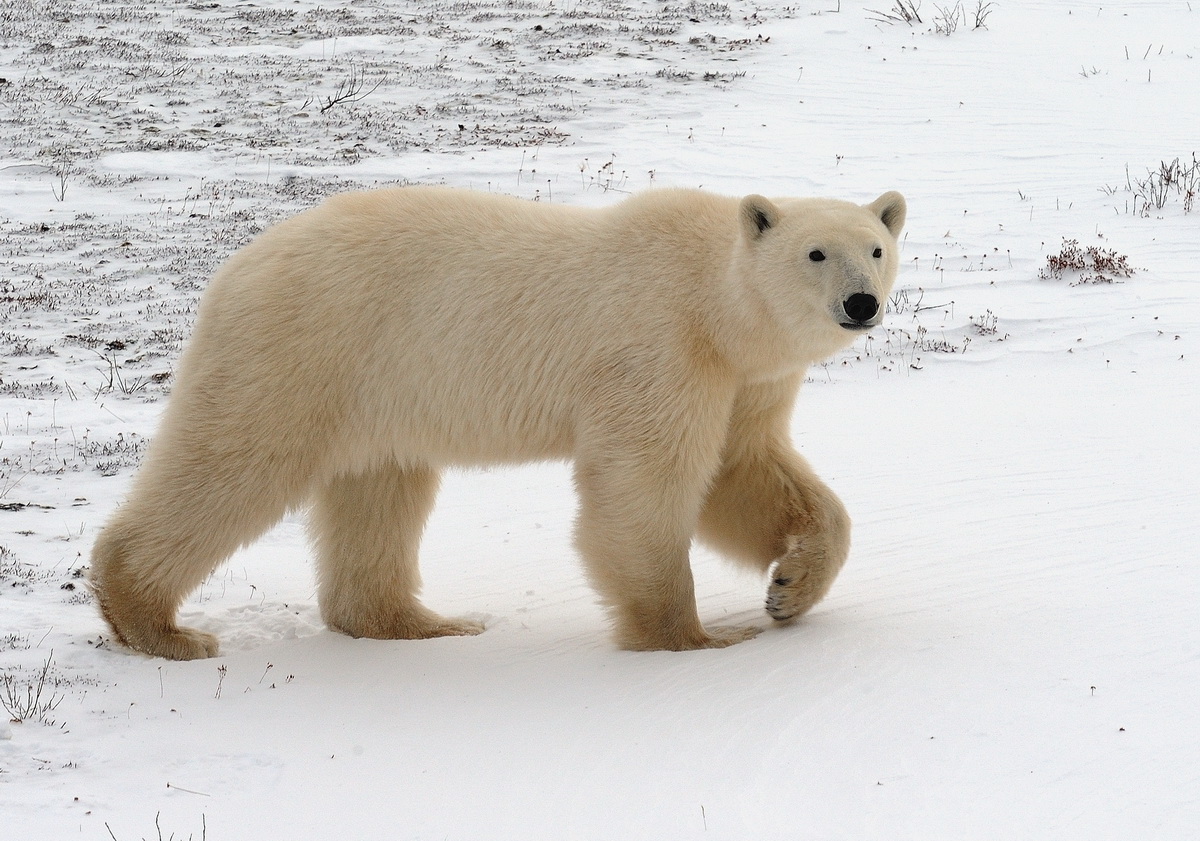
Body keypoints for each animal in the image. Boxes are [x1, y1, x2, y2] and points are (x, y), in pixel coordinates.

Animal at [89, 185, 906, 660]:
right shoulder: (660, 349)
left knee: (379, 491)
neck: (713, 302)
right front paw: (695, 636)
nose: (860, 303)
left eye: (877, 246)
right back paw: (158, 624)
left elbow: (747, 472)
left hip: (380, 388)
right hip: (305, 350)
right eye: (815, 253)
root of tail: (236, 269)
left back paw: (420, 622)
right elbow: (645, 484)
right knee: (236, 462)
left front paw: (788, 587)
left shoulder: (746, 379)